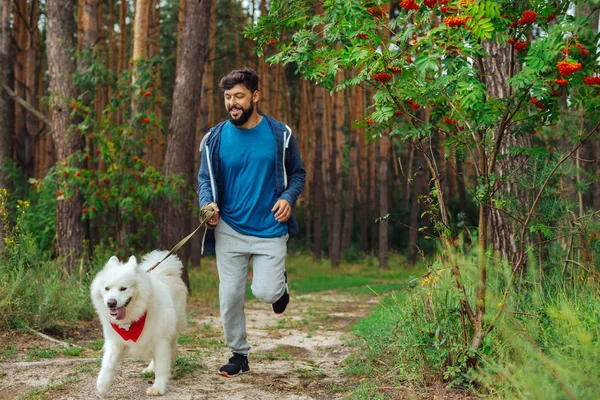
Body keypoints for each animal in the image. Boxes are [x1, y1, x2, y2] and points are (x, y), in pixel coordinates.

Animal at [89, 252, 185, 396]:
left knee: (170, 349)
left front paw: (158, 388)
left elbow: (161, 366)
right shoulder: (115, 341)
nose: (111, 303)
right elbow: (107, 363)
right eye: (106, 288)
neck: (132, 319)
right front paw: (102, 384)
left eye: (123, 289)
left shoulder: (161, 341)